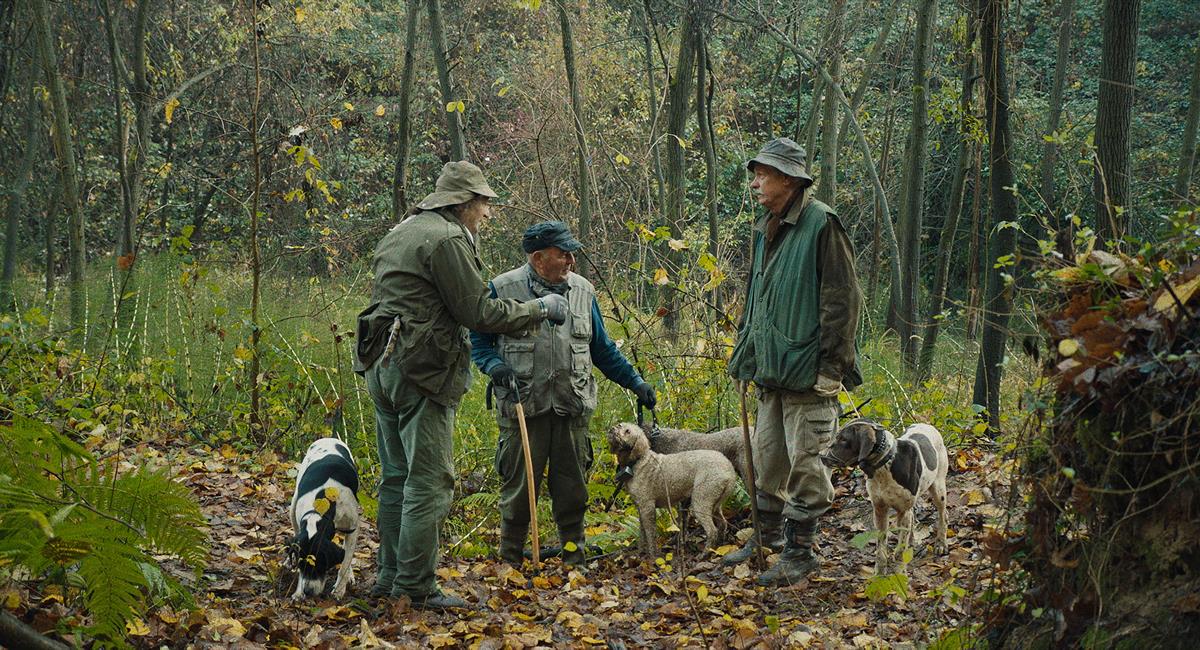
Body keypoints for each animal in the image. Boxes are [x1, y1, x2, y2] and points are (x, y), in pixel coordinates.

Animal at [288, 438, 357, 602]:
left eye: (320, 564)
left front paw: (339, 590)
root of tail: (329, 438)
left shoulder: (353, 528)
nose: (308, 591)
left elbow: (345, 562)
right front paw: (298, 592)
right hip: (292, 507)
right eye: (301, 564)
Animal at [604, 424, 734, 558]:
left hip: (701, 500)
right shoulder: (640, 508)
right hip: (715, 502)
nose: (612, 428)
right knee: (723, 523)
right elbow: (642, 533)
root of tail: (729, 470)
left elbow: (650, 534)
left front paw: (653, 557)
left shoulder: (647, 507)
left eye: (628, 431)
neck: (637, 461)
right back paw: (719, 548)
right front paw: (640, 553)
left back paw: (703, 554)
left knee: (712, 531)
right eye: (619, 425)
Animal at [820, 419, 950, 573]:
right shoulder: (880, 510)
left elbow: (900, 549)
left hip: (938, 488)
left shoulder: (903, 510)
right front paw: (879, 573)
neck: (884, 465)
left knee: (943, 514)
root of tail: (927, 425)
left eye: (844, 439)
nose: (821, 456)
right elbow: (881, 547)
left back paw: (941, 543)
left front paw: (900, 572)